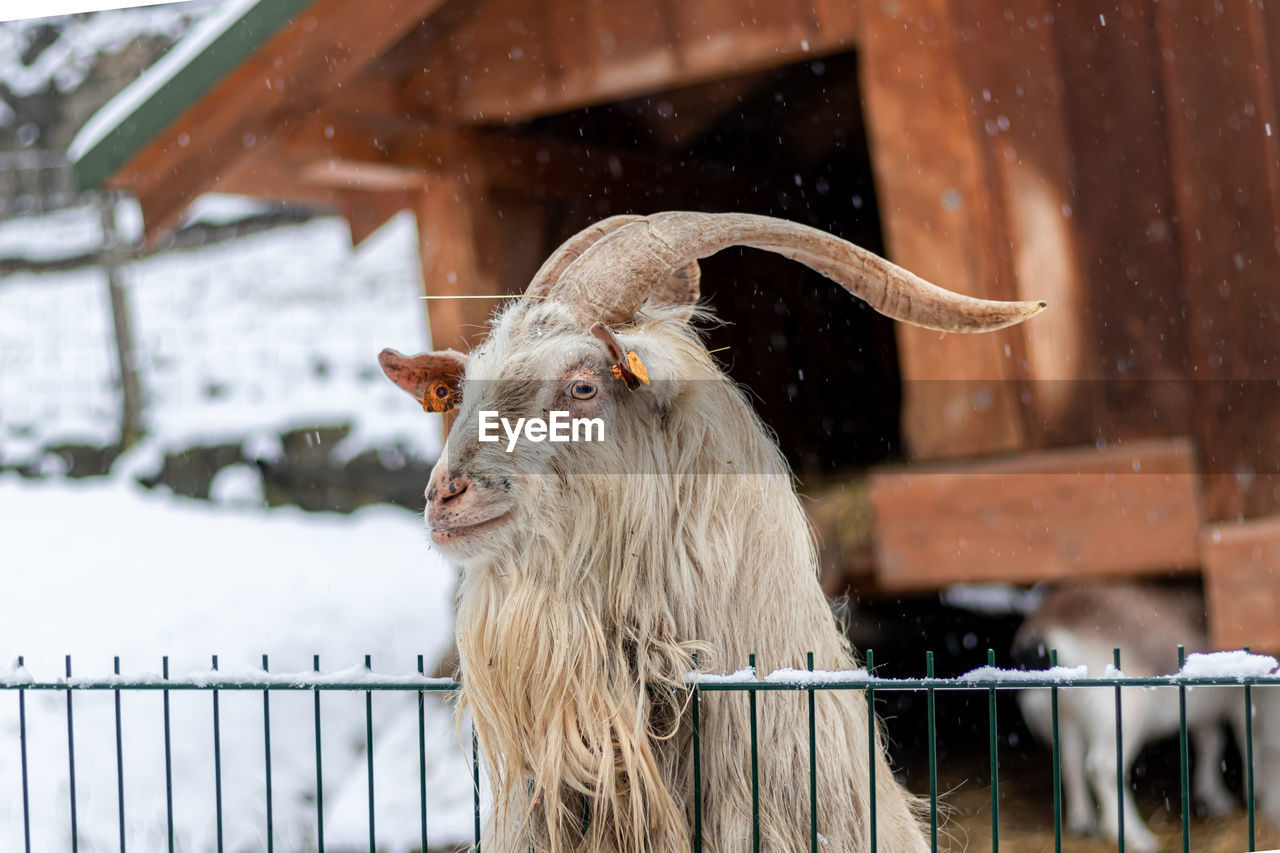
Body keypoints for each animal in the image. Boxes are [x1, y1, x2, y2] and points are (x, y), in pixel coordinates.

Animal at [1008, 578, 1269, 850]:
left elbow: (1211, 740)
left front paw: (1215, 797)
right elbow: (1248, 737)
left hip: (1067, 715)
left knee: (1070, 759)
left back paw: (1084, 824)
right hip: (1124, 707)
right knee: (1102, 766)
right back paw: (1135, 836)